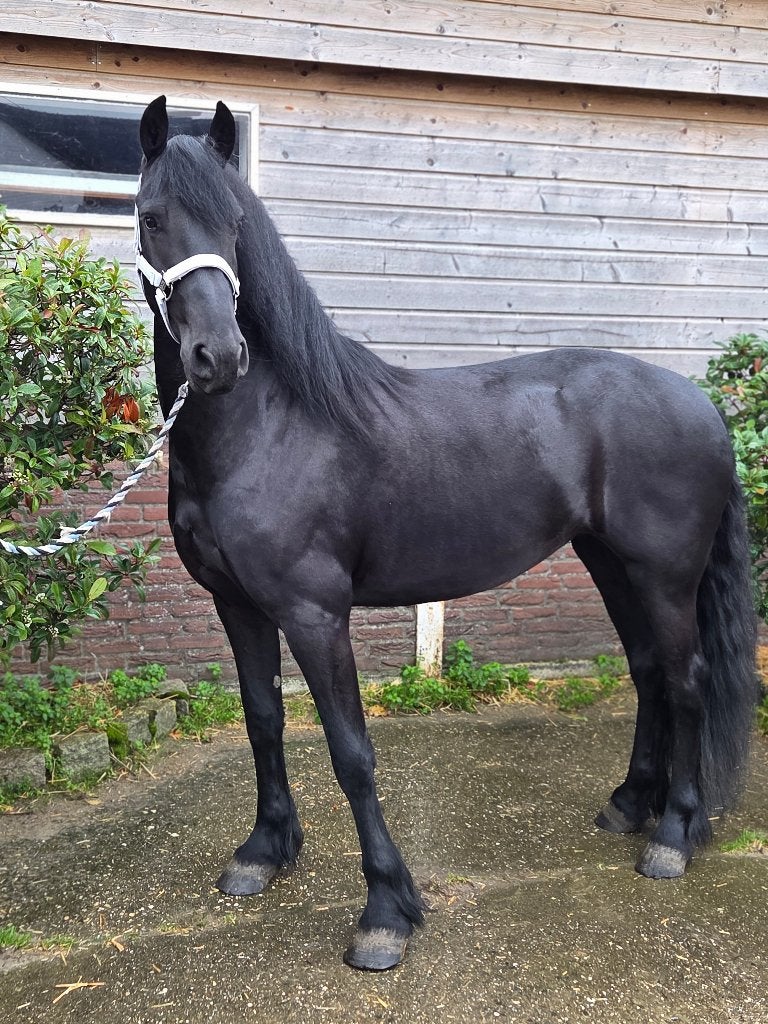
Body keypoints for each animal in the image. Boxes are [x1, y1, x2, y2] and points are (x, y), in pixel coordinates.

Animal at [135, 96, 757, 971]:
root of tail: (702, 403)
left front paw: (385, 913)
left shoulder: (315, 615)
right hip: (611, 564)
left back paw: (671, 836)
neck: (266, 427)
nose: (218, 358)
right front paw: (264, 850)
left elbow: (351, 752)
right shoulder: (239, 606)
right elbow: (263, 721)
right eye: (153, 218)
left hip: (666, 575)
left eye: (235, 224)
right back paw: (630, 805)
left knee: (687, 679)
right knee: (647, 674)